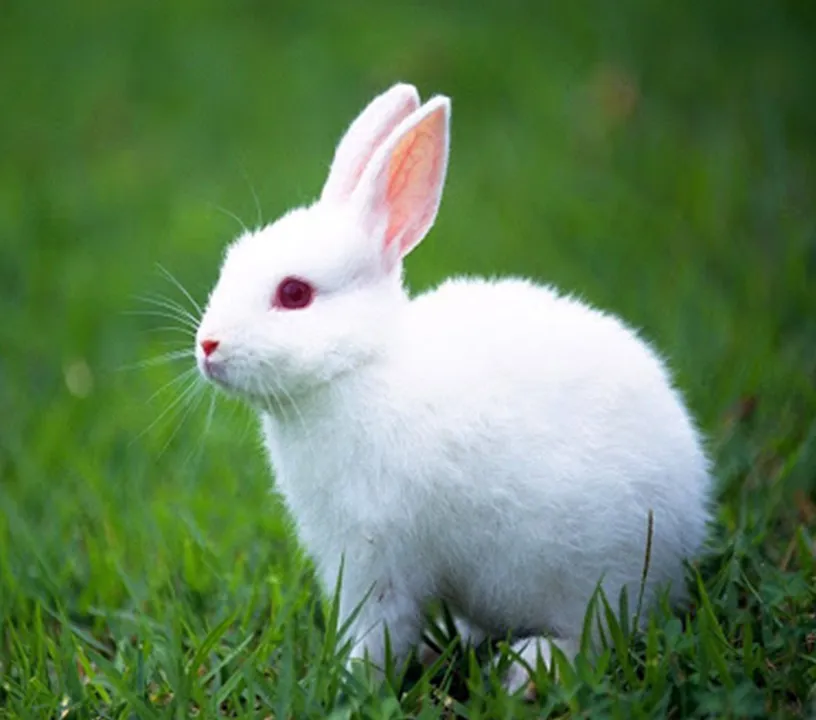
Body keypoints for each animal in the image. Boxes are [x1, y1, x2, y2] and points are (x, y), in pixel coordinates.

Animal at [194, 82, 713, 697]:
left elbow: (378, 631)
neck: (360, 366)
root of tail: (689, 522)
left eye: (294, 293)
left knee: (594, 637)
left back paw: (523, 670)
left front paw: (351, 682)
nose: (207, 345)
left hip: (594, 573)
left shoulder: (378, 557)